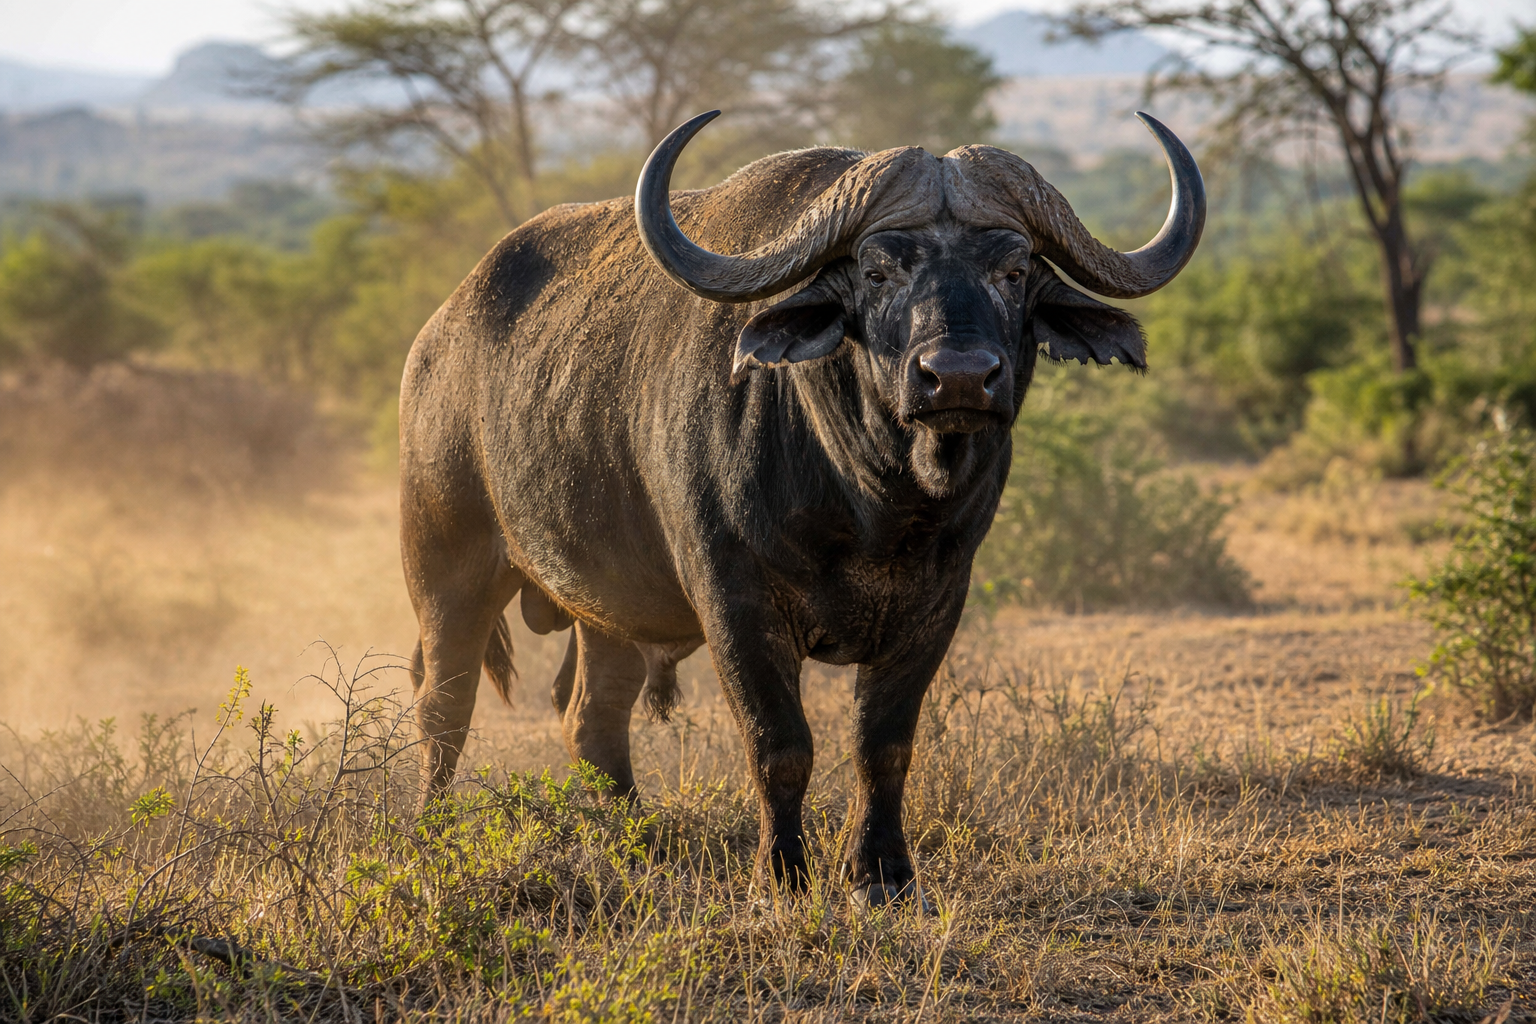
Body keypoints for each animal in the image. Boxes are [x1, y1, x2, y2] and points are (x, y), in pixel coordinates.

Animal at [400, 110, 1203, 906]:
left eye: (1012, 271)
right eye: (878, 270)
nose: (958, 377)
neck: (874, 502)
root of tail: (437, 337)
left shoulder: (937, 604)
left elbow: (884, 746)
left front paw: (882, 873)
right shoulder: (735, 603)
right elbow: (779, 743)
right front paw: (783, 873)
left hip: (611, 610)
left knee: (592, 716)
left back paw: (637, 839)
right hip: (445, 569)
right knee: (444, 706)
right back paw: (432, 835)